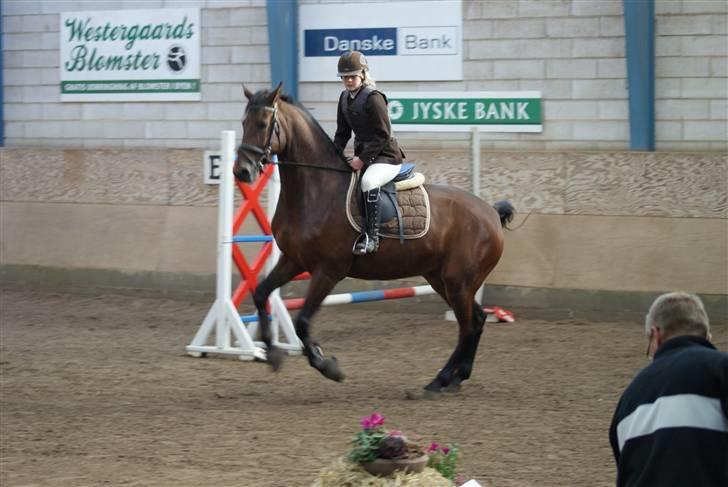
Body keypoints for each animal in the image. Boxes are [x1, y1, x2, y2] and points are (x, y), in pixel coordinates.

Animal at [233, 83, 512, 396]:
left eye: (263, 124)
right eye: (243, 123)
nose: (242, 171)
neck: (316, 189)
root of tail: (491, 212)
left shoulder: (328, 271)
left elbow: (302, 322)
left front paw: (327, 365)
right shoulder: (293, 261)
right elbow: (260, 294)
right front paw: (272, 353)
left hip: (458, 282)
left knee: (468, 326)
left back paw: (441, 380)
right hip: (442, 279)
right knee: (475, 321)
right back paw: (451, 378)